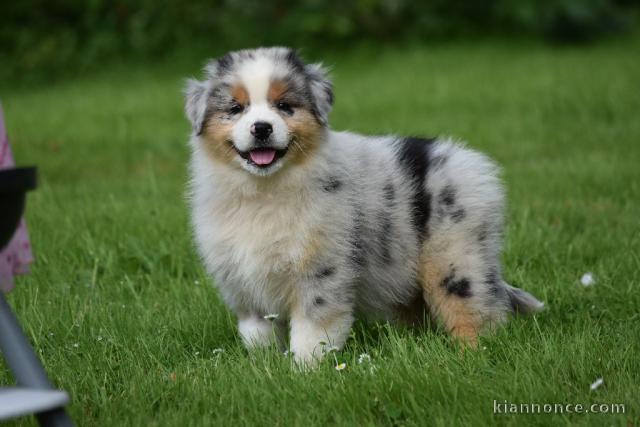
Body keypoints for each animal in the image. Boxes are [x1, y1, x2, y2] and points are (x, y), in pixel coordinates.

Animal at [182, 47, 544, 368]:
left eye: (284, 106)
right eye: (236, 109)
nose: (261, 128)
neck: (265, 190)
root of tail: (470, 160)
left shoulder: (321, 271)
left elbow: (312, 331)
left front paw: (305, 371)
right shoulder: (242, 281)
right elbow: (258, 334)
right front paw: (264, 366)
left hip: (458, 259)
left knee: (477, 312)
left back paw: (472, 358)